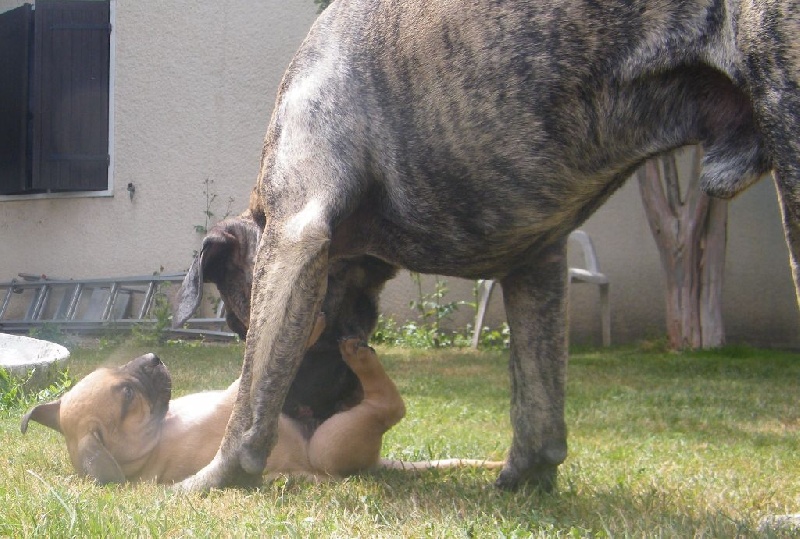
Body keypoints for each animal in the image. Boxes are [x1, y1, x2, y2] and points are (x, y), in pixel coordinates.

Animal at [175, 0, 800, 494]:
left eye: (237, 324)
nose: (309, 417)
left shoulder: (295, 233)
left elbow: (252, 399)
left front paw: (214, 477)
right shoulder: (538, 265)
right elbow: (539, 409)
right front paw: (524, 481)